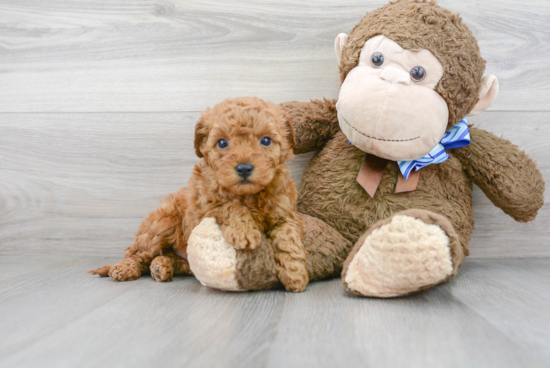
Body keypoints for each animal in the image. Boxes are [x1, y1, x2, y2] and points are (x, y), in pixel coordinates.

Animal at [88, 98, 308, 294]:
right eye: (222, 143)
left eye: (266, 140)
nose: (244, 168)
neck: (248, 195)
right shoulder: (204, 206)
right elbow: (231, 205)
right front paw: (245, 232)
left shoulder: (284, 212)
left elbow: (288, 237)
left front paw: (295, 273)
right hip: (162, 224)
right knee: (136, 253)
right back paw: (125, 268)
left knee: (175, 261)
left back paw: (161, 266)